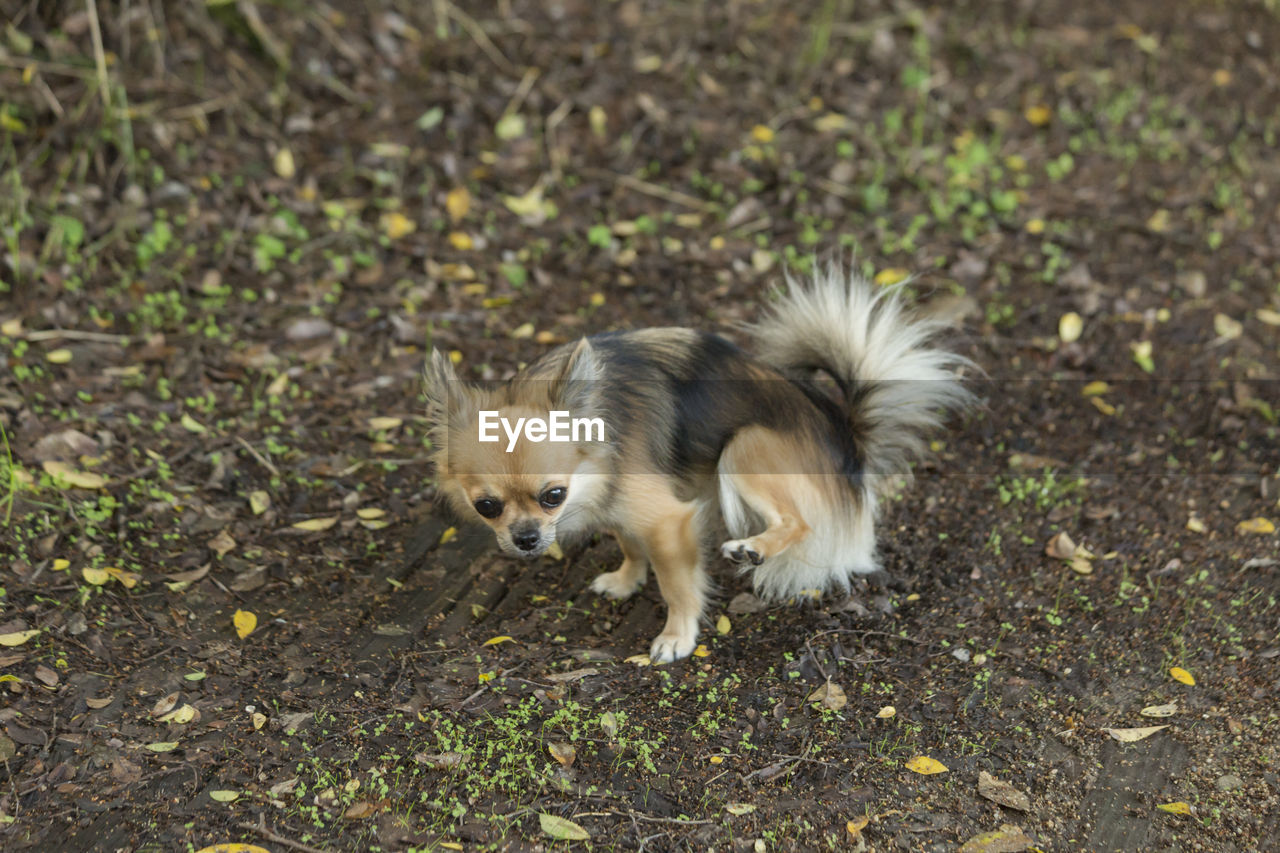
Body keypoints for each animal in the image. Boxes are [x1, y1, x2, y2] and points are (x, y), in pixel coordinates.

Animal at [427, 262, 967, 660]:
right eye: (487, 507)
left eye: (552, 496)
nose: (525, 539)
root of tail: (845, 432)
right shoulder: (621, 499)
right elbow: (628, 540)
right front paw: (626, 579)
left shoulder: (668, 519)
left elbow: (677, 585)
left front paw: (676, 637)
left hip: (745, 448)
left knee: (800, 522)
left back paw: (754, 549)